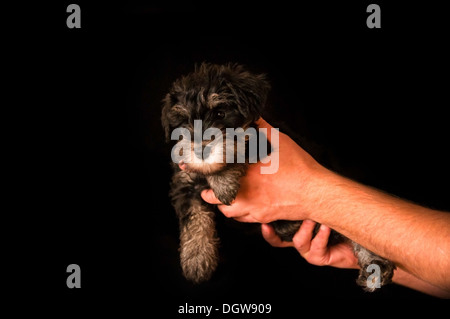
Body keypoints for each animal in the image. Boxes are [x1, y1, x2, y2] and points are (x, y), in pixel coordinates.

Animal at [160, 62, 396, 292]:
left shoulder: (263, 143)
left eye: (220, 114)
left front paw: (223, 183)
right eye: (183, 122)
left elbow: (240, 147)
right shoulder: (185, 184)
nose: (201, 150)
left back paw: (375, 267)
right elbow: (194, 220)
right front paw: (196, 261)